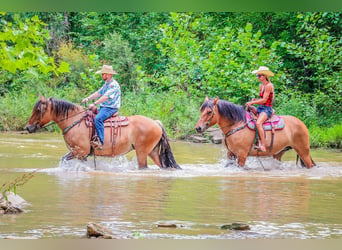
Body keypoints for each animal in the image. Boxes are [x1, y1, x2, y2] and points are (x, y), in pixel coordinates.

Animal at [25, 95, 180, 170]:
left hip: (142, 152)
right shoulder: (82, 154)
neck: (74, 121)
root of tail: (156, 122)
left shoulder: (80, 150)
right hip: (153, 152)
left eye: (38, 110)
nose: (27, 127)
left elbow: (63, 160)